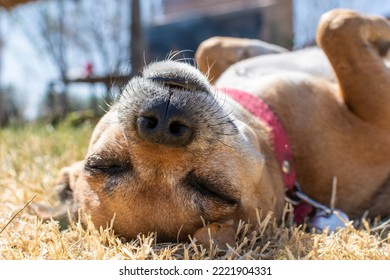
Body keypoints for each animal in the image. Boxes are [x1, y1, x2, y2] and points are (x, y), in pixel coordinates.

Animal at [32, 9, 390, 248]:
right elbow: (333, 25)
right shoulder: (376, 117)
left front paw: (261, 49)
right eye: (214, 189)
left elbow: (210, 43)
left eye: (103, 164)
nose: (163, 122)